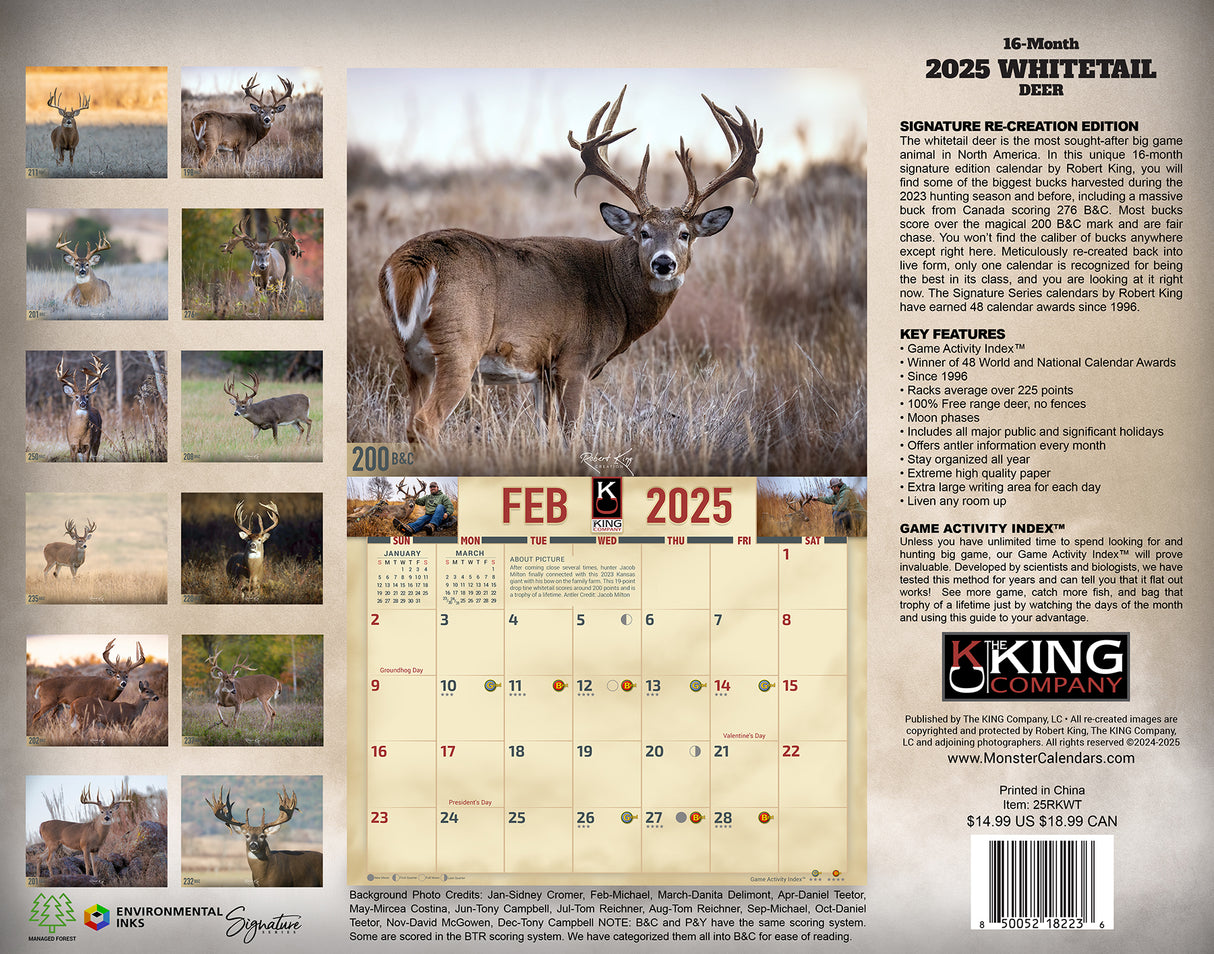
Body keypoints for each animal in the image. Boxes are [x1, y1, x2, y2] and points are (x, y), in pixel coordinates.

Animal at [378, 86, 761, 443]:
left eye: (685, 234)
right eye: (643, 232)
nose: (664, 263)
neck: (614, 293)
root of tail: (413, 260)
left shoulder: (542, 371)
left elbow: (543, 432)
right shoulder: (574, 360)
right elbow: (569, 433)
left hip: (411, 356)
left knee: (408, 421)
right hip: (460, 344)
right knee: (424, 423)